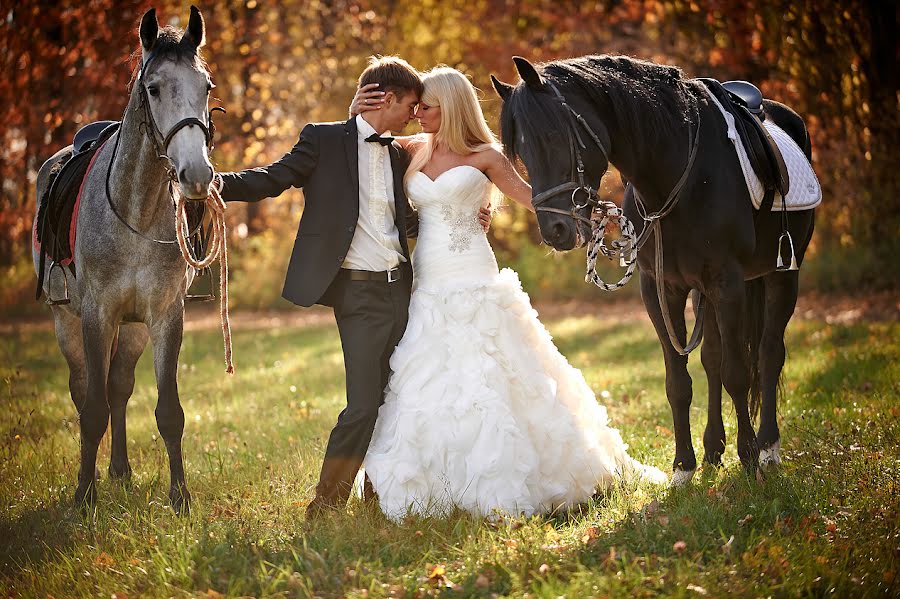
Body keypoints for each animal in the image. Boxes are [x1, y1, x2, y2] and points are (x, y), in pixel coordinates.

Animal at [32, 7, 216, 512]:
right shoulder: (98, 315)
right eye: (153, 88)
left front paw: (180, 497)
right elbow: (91, 409)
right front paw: (84, 496)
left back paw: (119, 469)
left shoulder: (164, 316)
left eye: (206, 86)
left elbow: (168, 412)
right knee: (84, 391)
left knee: (118, 386)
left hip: (132, 329)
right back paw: (95, 475)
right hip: (67, 322)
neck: (135, 211)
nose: (197, 175)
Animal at [492, 56, 816, 486]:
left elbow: (738, 372)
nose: (555, 230)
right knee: (712, 359)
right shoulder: (661, 289)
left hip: (782, 275)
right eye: (522, 151)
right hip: (705, 293)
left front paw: (747, 460)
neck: (678, 174)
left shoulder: (727, 283)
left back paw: (768, 448)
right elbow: (680, 382)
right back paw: (714, 450)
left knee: (767, 354)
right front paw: (684, 467)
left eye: (553, 135)